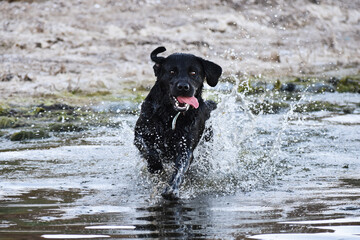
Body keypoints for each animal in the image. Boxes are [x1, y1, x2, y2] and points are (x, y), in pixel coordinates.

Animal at [134, 46, 221, 199]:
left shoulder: (186, 148)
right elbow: (150, 152)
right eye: (172, 72)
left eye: (193, 72)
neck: (170, 115)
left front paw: (171, 190)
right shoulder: (140, 134)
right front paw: (156, 167)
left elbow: (179, 169)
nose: (183, 87)